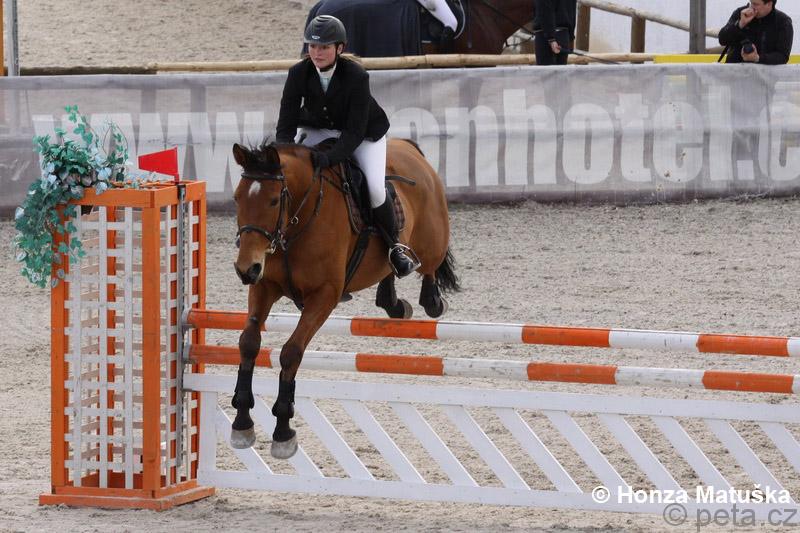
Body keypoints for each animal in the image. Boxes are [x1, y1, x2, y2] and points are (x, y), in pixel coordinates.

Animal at [230, 139, 459, 458]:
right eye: (237, 198)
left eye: (274, 201)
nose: (244, 269)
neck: (298, 219)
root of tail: (409, 146)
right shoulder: (264, 286)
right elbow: (249, 342)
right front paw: (241, 422)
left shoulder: (323, 295)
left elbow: (291, 352)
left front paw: (283, 430)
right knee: (389, 269)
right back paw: (393, 301)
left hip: (432, 240)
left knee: (429, 267)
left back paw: (429, 297)